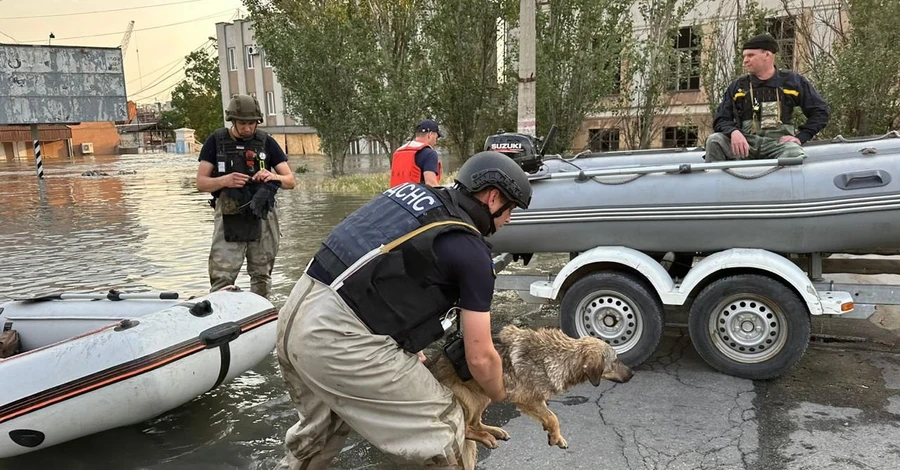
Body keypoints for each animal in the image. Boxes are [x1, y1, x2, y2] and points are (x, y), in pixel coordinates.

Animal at [428, 324, 632, 450]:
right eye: (615, 361)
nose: (632, 374)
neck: (560, 357)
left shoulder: (537, 401)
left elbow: (549, 416)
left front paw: (554, 435)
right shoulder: (527, 399)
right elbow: (553, 417)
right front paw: (556, 437)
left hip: (484, 395)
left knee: (475, 423)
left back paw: (495, 431)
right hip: (469, 400)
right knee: (465, 429)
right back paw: (486, 437)